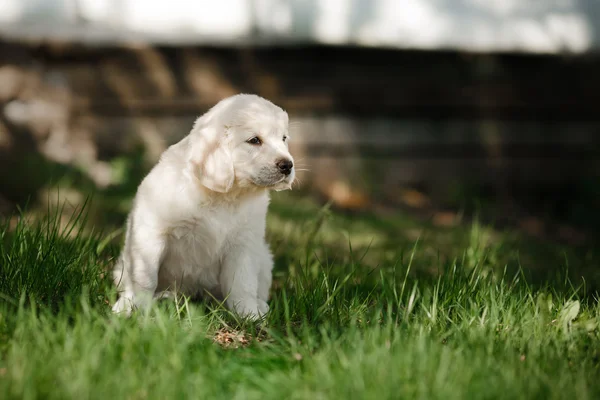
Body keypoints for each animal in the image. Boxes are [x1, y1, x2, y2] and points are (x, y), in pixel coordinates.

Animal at [112, 94, 296, 318]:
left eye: (284, 139)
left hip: (264, 258)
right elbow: (144, 276)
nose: (287, 165)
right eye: (254, 140)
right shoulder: (151, 234)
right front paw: (134, 308)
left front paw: (248, 314)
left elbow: (242, 283)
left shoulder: (244, 243)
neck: (225, 196)